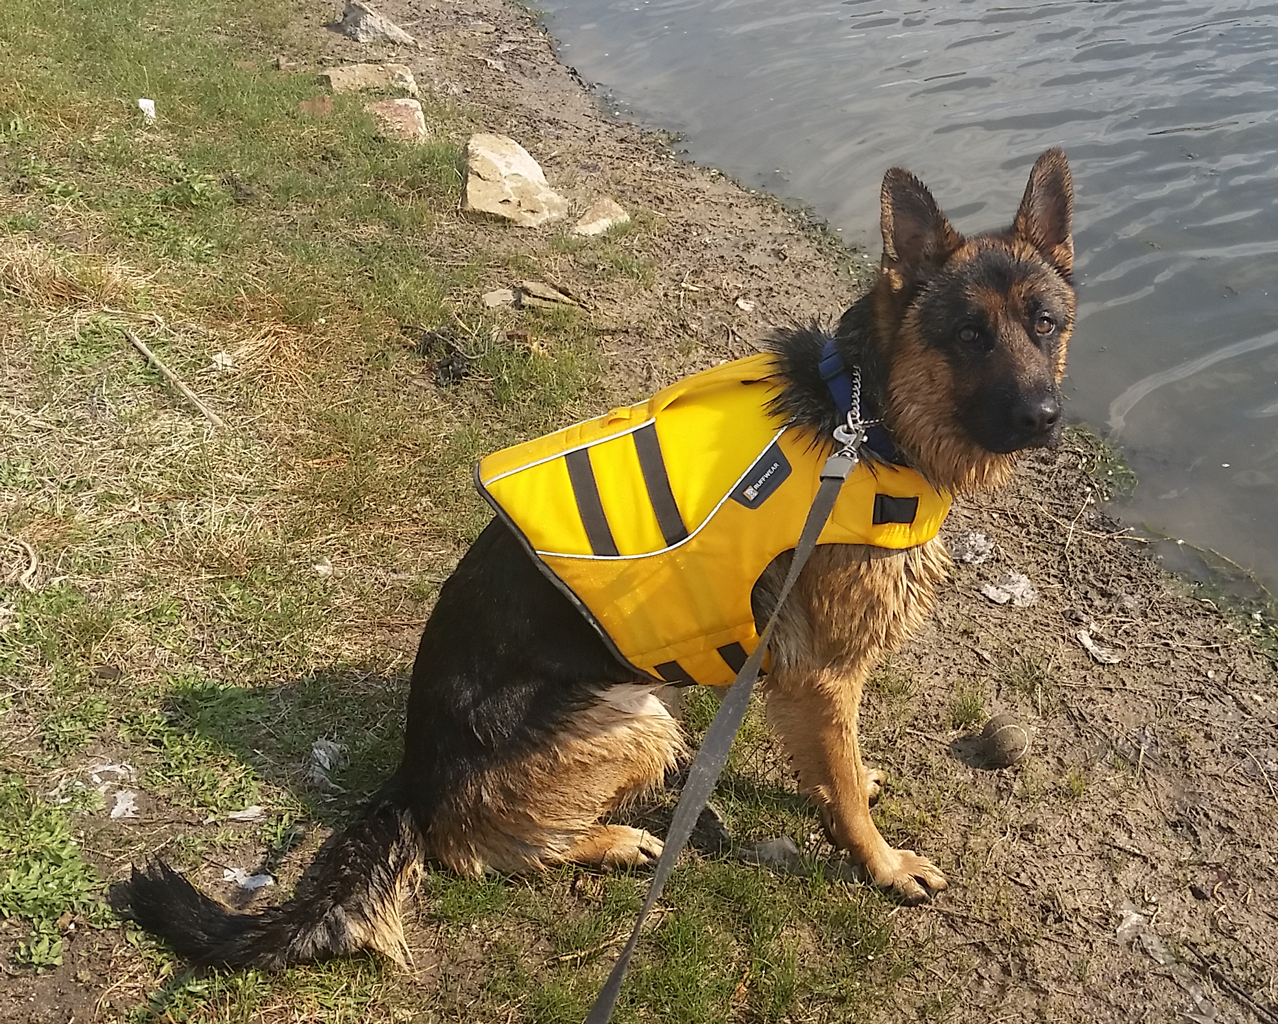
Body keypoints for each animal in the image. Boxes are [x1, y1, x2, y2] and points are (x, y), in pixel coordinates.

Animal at [122, 147, 1078, 961]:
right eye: (969, 337)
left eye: (1045, 324)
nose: (1044, 418)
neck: (863, 412)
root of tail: (412, 774)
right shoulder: (822, 674)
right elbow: (839, 786)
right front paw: (880, 862)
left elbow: (834, 763)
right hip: (630, 711)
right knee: (476, 849)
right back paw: (612, 839)